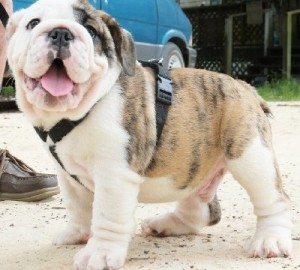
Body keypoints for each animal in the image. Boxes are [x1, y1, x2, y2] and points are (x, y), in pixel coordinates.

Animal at [6, 0, 292, 268]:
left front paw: (99, 253)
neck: (81, 109)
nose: (61, 33)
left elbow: (107, 216)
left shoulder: (115, 174)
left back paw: (270, 240)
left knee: (274, 199)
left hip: (250, 155)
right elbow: (77, 206)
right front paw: (77, 233)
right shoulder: (68, 174)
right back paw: (167, 224)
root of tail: (246, 87)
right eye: (33, 23)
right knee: (201, 208)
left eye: (91, 31)